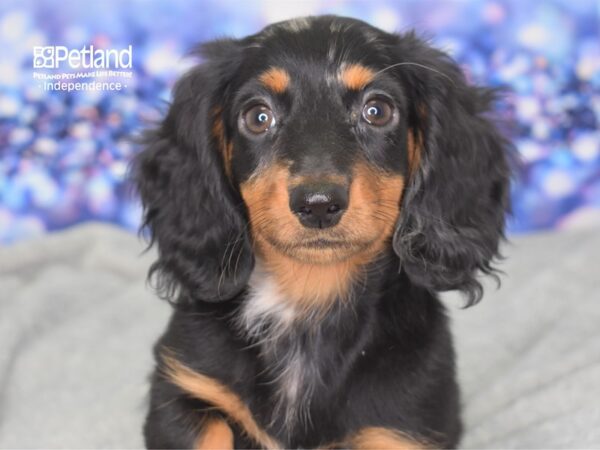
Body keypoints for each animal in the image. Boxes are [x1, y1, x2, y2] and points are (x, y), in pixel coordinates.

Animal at [135, 14, 510, 450]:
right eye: (257, 116)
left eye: (377, 110)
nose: (318, 204)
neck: (305, 301)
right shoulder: (183, 389)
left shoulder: (404, 428)